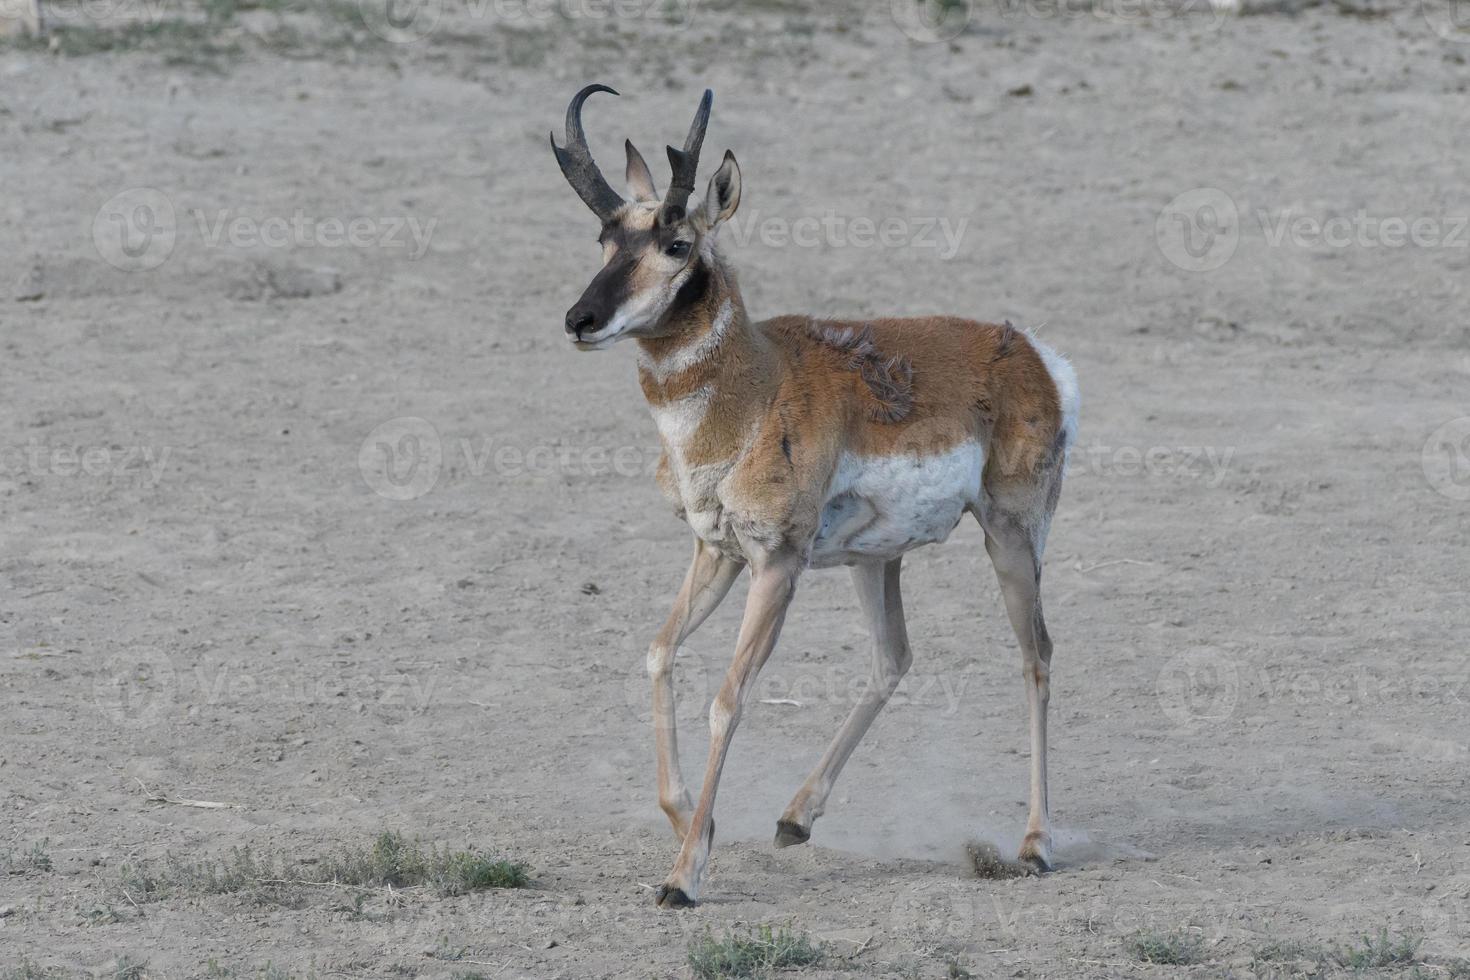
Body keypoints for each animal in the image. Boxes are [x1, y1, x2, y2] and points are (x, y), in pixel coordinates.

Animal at [552, 84, 1081, 910]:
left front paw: (683, 877)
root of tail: (1029, 352)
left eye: (677, 244)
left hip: (1011, 537)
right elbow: (659, 654)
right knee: (894, 657)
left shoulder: (778, 565)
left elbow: (729, 695)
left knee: (1037, 656)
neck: (757, 387)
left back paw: (1034, 845)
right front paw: (692, 822)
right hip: (876, 559)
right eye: (605, 238)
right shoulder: (716, 551)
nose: (581, 320)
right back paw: (794, 817)